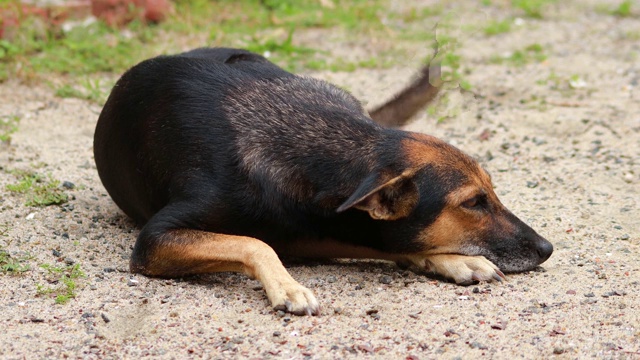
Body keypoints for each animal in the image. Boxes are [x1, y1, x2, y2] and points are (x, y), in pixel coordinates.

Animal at [92, 47, 552, 316]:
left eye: (490, 190)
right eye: (473, 202)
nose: (547, 248)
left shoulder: (315, 230)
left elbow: (386, 243)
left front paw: (452, 259)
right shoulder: (155, 239)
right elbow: (253, 243)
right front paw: (287, 286)